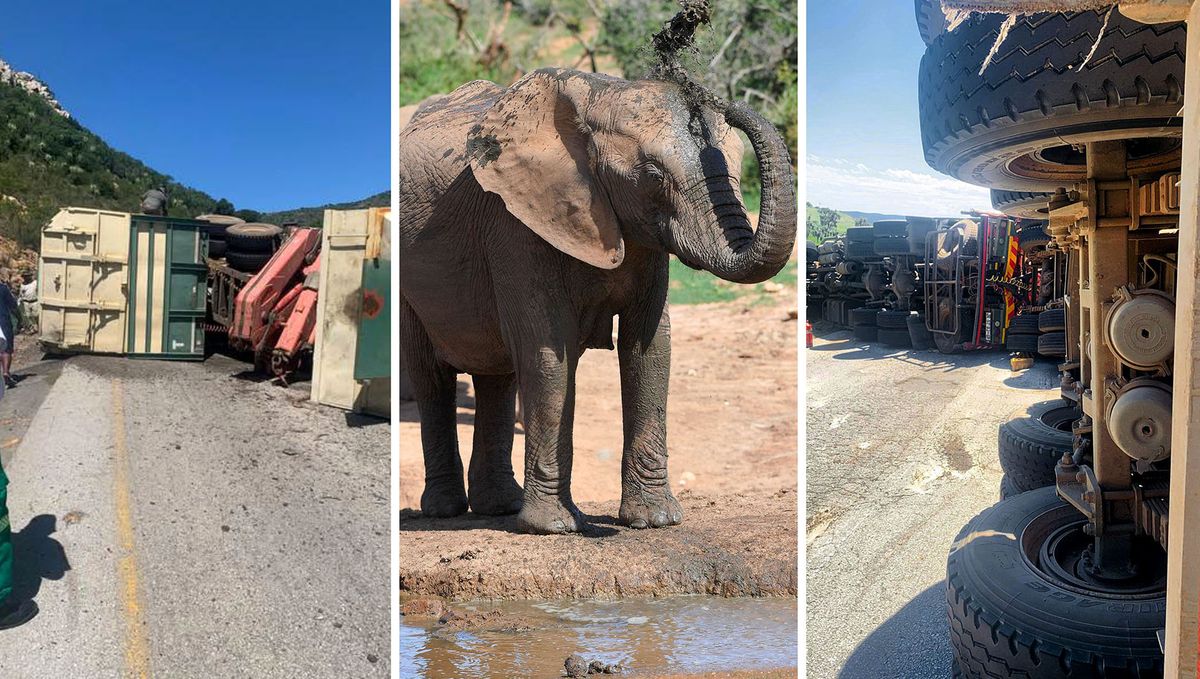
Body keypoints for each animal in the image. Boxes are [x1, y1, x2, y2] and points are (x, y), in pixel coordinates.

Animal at [399, 67, 796, 534]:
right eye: (653, 175)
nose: (715, 98)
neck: (599, 96)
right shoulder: (515, 224)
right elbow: (548, 353)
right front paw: (554, 527)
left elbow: (649, 348)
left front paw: (655, 520)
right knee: (433, 378)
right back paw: (445, 510)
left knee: (498, 377)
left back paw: (499, 507)